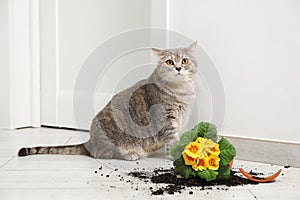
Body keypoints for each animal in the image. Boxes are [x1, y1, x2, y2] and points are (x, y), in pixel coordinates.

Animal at [18, 42, 197, 161]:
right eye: (169, 62)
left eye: (185, 61)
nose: (178, 68)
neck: (182, 92)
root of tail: (90, 141)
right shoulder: (165, 120)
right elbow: (173, 139)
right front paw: (178, 156)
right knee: (103, 154)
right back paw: (132, 154)